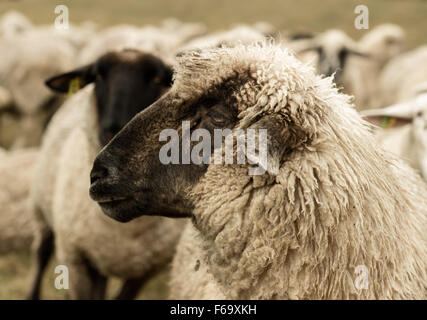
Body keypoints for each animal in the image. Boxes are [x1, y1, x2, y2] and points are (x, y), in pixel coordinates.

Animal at [26, 48, 183, 300]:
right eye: (98, 76)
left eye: (156, 80)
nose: (114, 129)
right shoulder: (77, 260)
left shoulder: (143, 272)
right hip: (42, 209)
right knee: (42, 253)